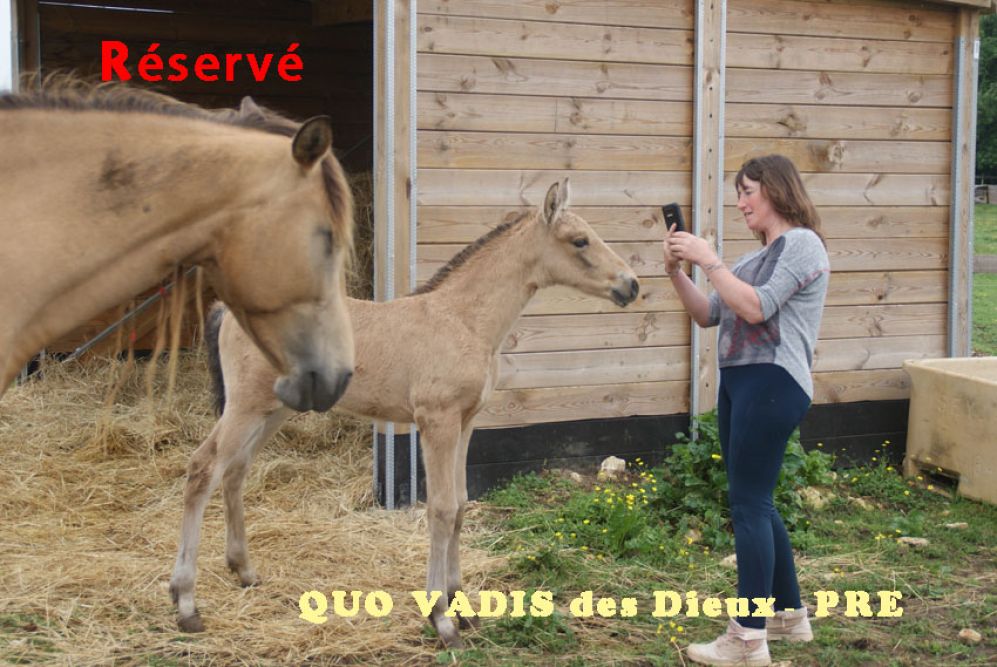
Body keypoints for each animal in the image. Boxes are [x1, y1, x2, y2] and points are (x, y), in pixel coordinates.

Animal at [169, 179, 640, 646]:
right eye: (579, 240)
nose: (631, 285)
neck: (463, 320)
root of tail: (227, 311)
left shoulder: (467, 422)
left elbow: (462, 504)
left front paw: (462, 605)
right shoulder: (437, 421)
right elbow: (442, 509)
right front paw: (441, 619)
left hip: (272, 410)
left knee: (235, 470)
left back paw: (244, 571)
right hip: (246, 405)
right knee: (203, 468)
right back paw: (186, 603)